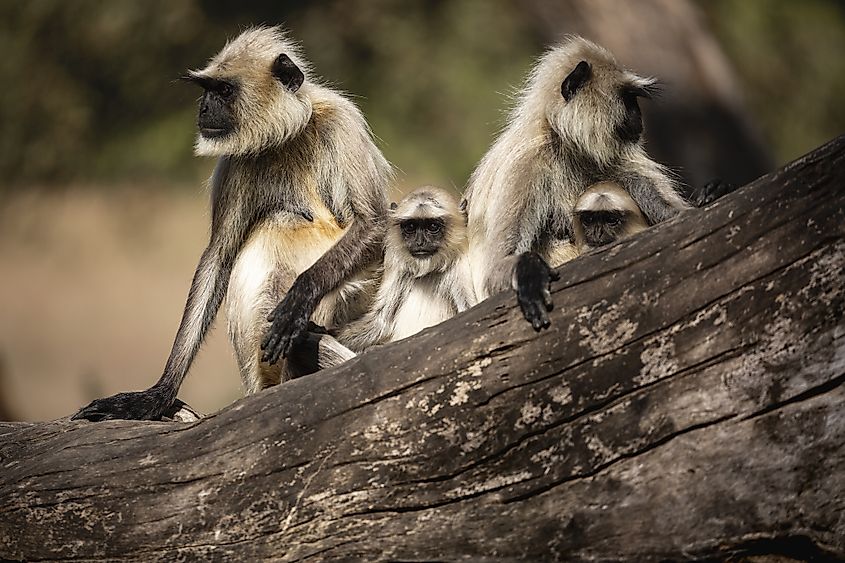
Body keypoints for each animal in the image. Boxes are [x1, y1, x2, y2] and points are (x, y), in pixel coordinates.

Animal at [74, 27, 390, 424]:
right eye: (205, 89)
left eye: (224, 90)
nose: (203, 108)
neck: (286, 135)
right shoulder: (234, 161)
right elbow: (219, 256)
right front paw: (157, 395)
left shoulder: (341, 123)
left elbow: (375, 223)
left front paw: (299, 298)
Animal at [462, 36, 692, 330]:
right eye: (627, 99)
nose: (639, 116)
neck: (564, 145)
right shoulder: (525, 168)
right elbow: (493, 272)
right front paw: (528, 272)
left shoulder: (612, 162)